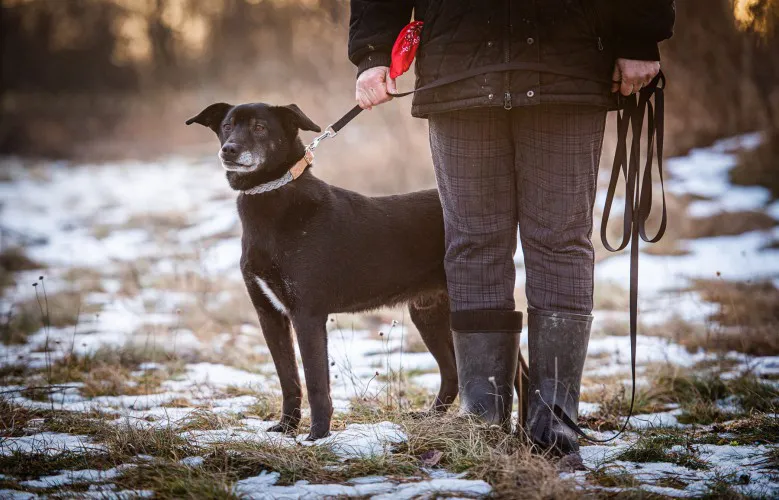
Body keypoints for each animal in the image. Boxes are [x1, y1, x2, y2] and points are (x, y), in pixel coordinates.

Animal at [190, 103, 532, 440]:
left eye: (260, 127)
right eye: (227, 126)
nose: (229, 149)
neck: (271, 201)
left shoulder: (307, 315)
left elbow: (315, 382)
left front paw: (317, 436)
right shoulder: (270, 315)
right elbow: (288, 379)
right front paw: (286, 428)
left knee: (515, 369)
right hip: (430, 313)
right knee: (452, 371)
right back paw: (432, 418)